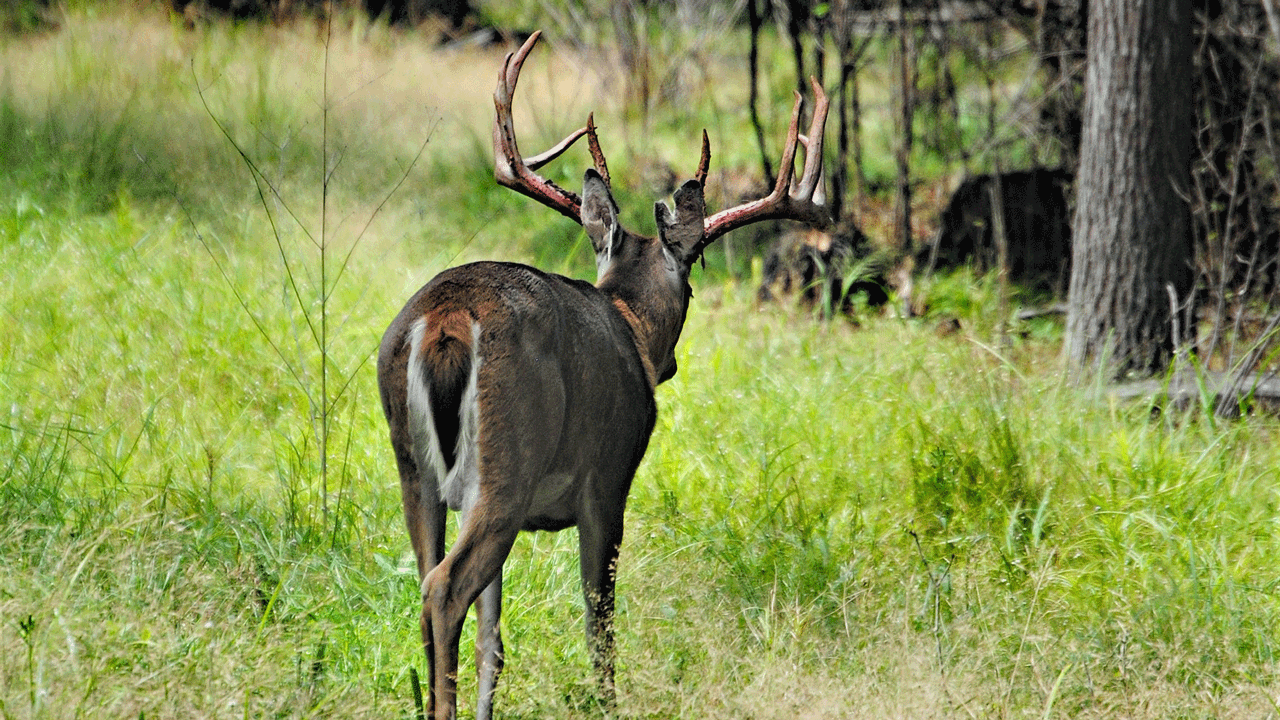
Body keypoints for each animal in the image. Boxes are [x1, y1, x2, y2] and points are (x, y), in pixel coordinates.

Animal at [373, 29, 829, 717]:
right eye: (692, 280)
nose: (670, 364)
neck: (628, 321)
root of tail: (446, 320)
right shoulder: (608, 481)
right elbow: (600, 627)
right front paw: (608, 702)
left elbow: (493, 644)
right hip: (507, 467)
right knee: (444, 588)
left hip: (414, 470)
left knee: (431, 592)